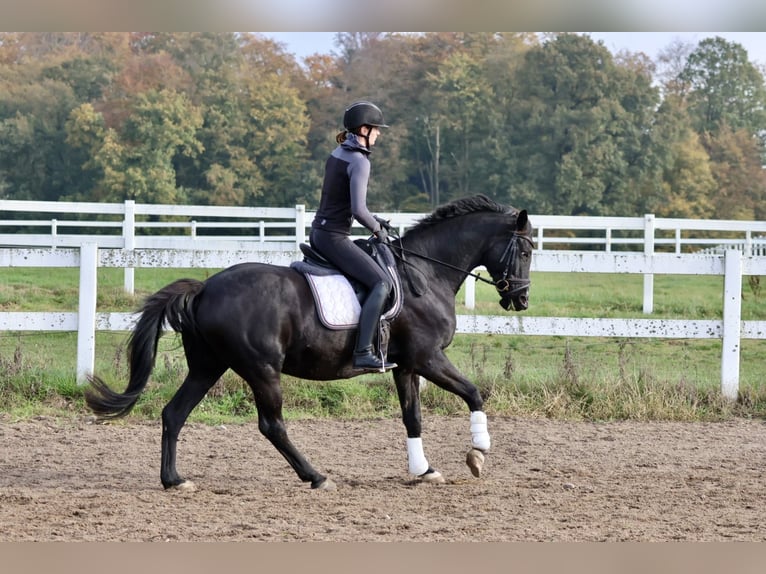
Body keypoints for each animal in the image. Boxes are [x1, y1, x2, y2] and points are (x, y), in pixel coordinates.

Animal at [85, 196, 536, 492]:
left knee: (173, 414)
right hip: (262, 369)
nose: (522, 299)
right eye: (527, 250)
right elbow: (474, 393)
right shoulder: (429, 358)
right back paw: (316, 476)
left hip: (208, 367)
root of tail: (205, 288)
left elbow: (413, 418)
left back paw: (174, 480)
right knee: (272, 425)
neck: (424, 273)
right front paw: (478, 453)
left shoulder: (408, 365)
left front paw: (424, 470)